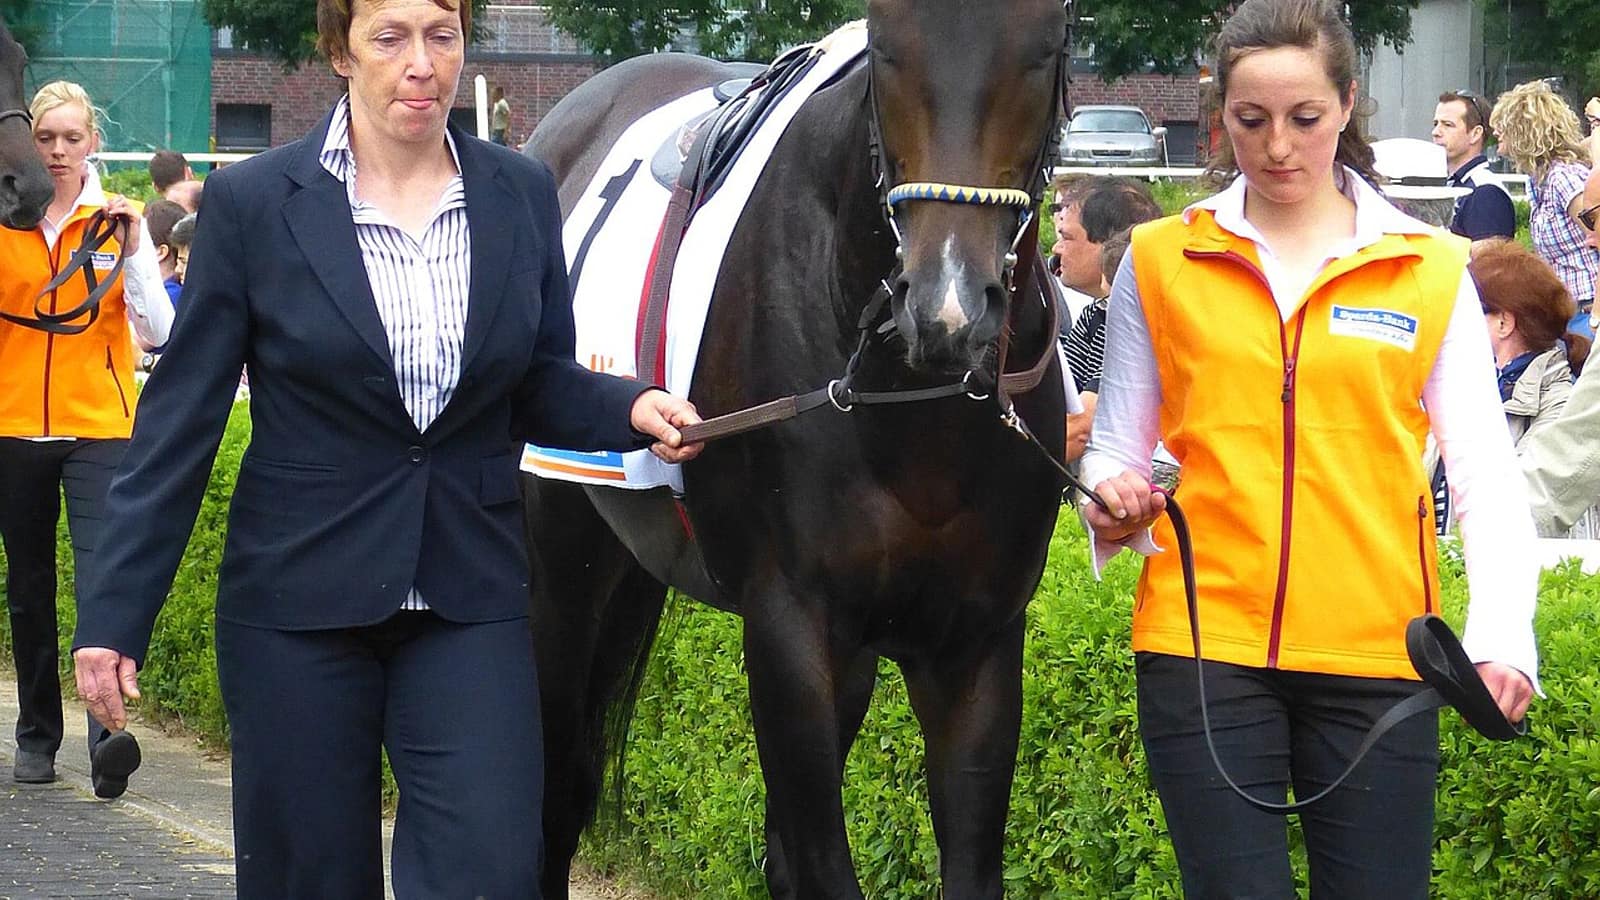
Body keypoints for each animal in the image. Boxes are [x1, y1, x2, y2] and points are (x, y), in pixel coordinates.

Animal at [522, 1, 1070, 896]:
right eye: (886, 49)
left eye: (1045, 49)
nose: (948, 310)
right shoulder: (790, 632)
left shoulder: (975, 645)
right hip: (558, 565)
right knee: (555, 787)